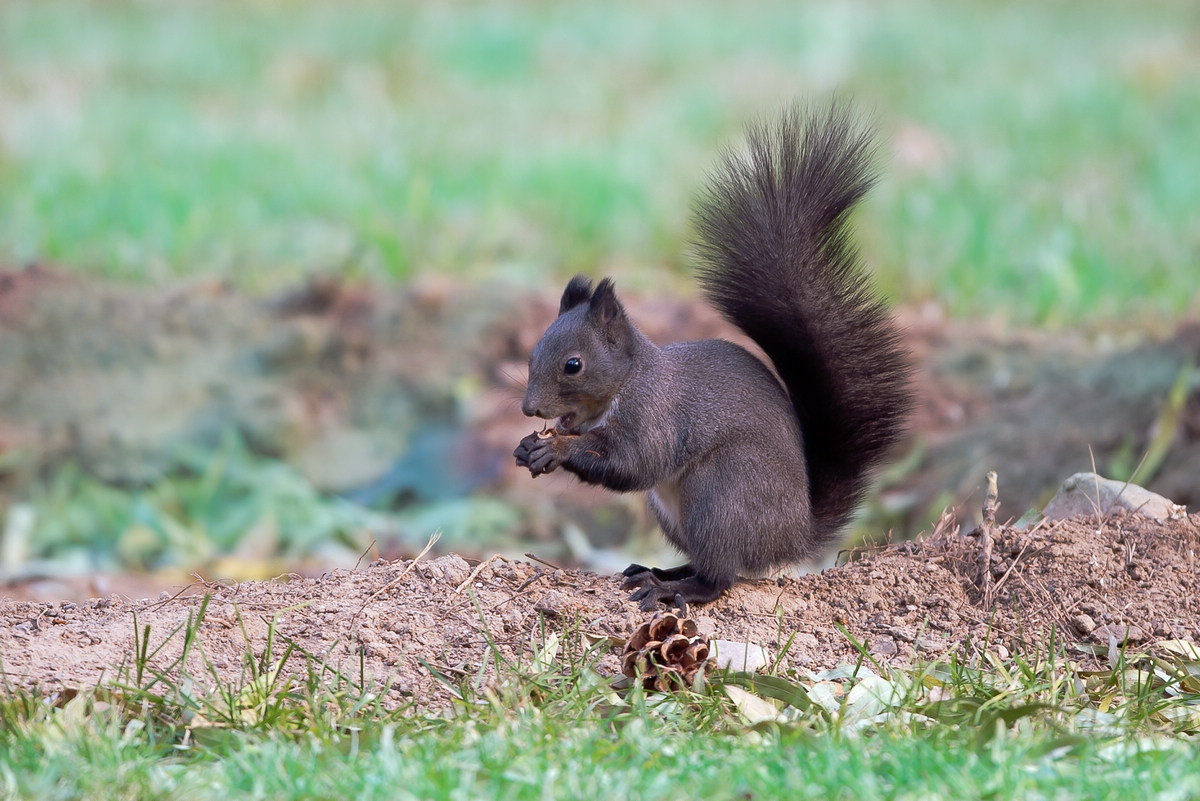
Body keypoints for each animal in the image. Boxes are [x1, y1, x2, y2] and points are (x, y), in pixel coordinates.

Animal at [511, 101, 912, 613]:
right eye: (532, 353)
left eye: (573, 365)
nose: (530, 409)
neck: (626, 383)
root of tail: (793, 536)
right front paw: (531, 445)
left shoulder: (655, 417)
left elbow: (633, 463)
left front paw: (557, 448)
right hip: (676, 513)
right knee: (706, 563)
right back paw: (662, 570)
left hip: (721, 494)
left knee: (720, 576)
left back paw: (673, 589)